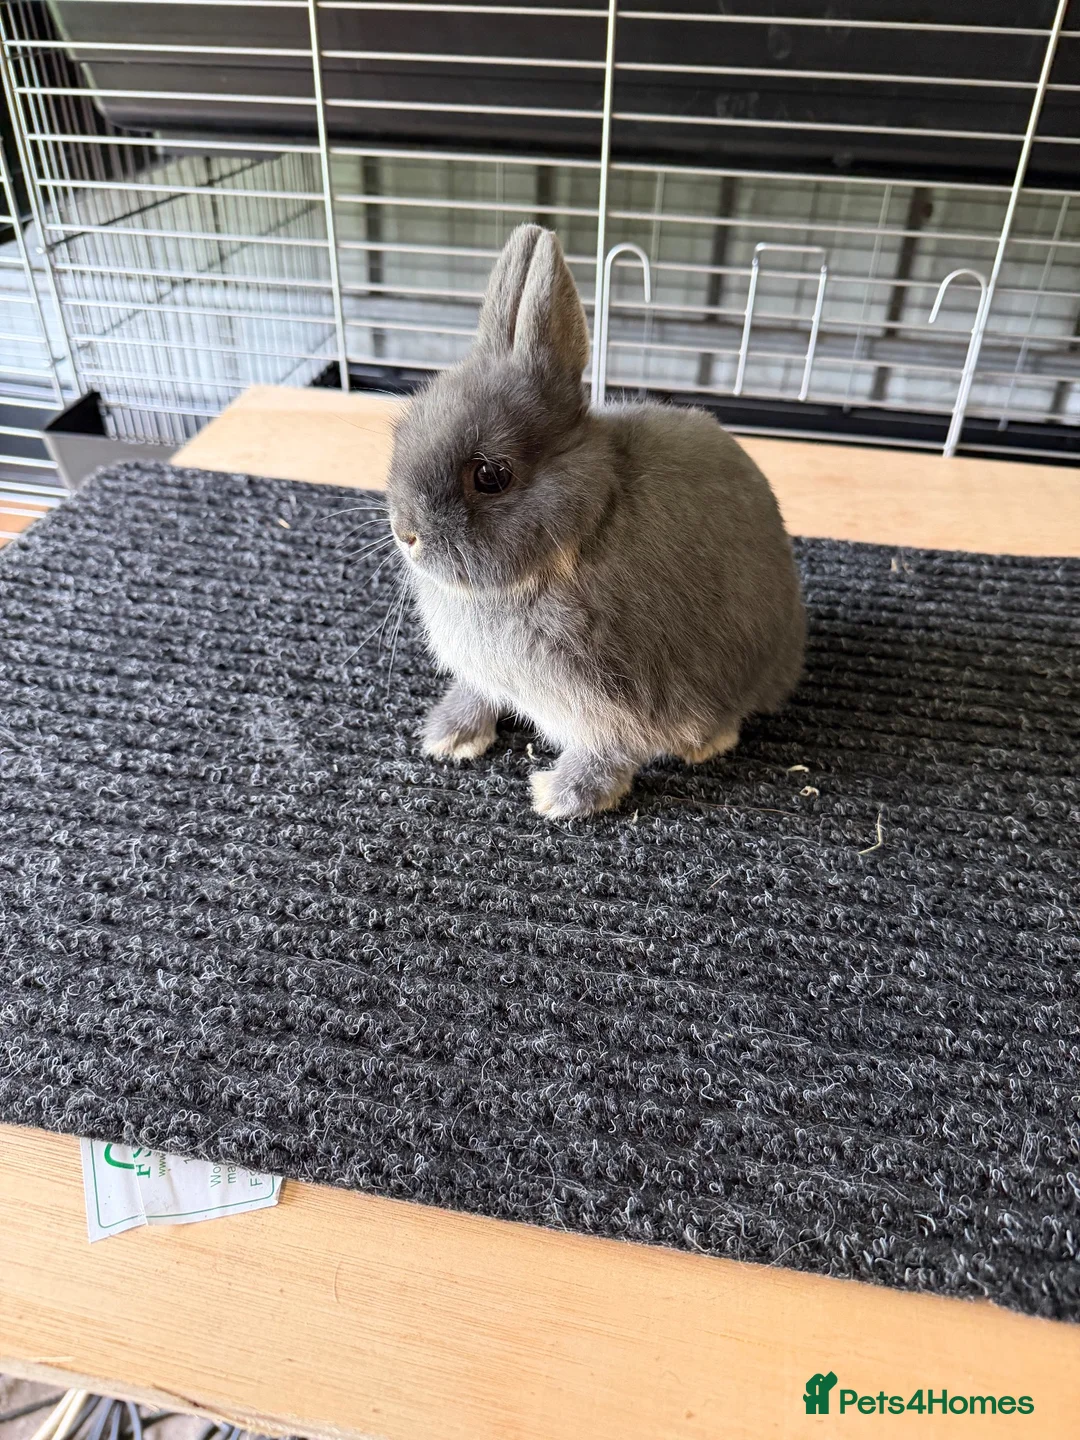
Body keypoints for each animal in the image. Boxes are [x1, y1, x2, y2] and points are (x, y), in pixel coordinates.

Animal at [385, 223, 806, 819]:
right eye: (405, 430)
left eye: (490, 476)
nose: (406, 533)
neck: (580, 529)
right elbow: (480, 694)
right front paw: (451, 737)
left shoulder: (619, 696)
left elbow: (612, 749)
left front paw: (560, 797)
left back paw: (706, 742)